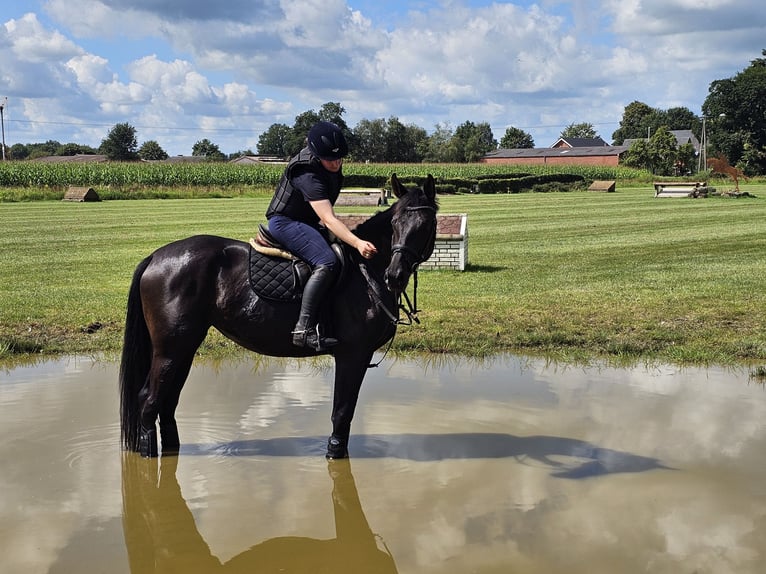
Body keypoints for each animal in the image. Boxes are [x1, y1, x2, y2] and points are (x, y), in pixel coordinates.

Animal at [120, 174, 438, 460]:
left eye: (426, 225)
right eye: (395, 224)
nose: (394, 276)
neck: (365, 270)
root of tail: (155, 257)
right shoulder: (353, 355)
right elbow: (342, 412)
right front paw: (335, 453)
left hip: (183, 349)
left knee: (167, 403)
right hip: (170, 350)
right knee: (149, 400)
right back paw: (149, 454)